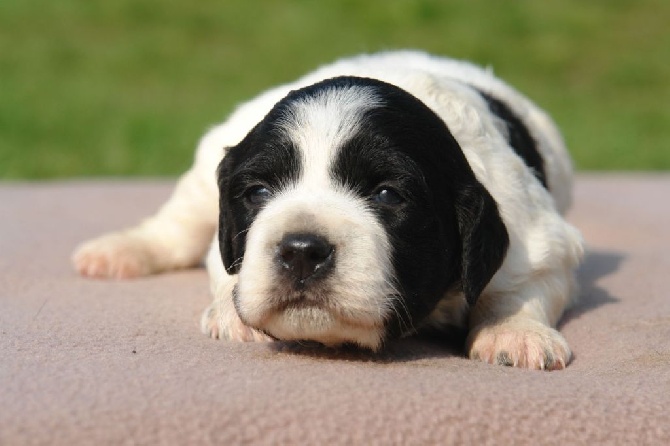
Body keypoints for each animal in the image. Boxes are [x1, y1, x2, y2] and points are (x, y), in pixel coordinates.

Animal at [73, 50, 584, 370]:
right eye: (258, 191)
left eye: (387, 195)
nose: (301, 250)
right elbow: (224, 267)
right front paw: (231, 313)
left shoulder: (536, 235)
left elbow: (522, 288)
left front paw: (514, 333)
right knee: (177, 227)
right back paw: (116, 252)